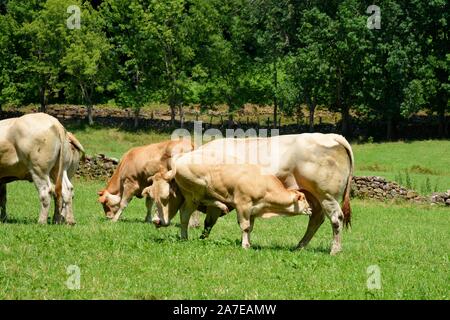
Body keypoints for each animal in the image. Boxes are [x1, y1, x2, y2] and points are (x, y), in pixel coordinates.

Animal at [142, 161, 312, 249]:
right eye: (303, 198)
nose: (310, 209)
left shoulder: (253, 210)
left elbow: (250, 227)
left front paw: (249, 242)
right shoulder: (243, 205)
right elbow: (245, 226)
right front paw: (245, 245)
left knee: (186, 216)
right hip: (197, 191)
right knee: (194, 208)